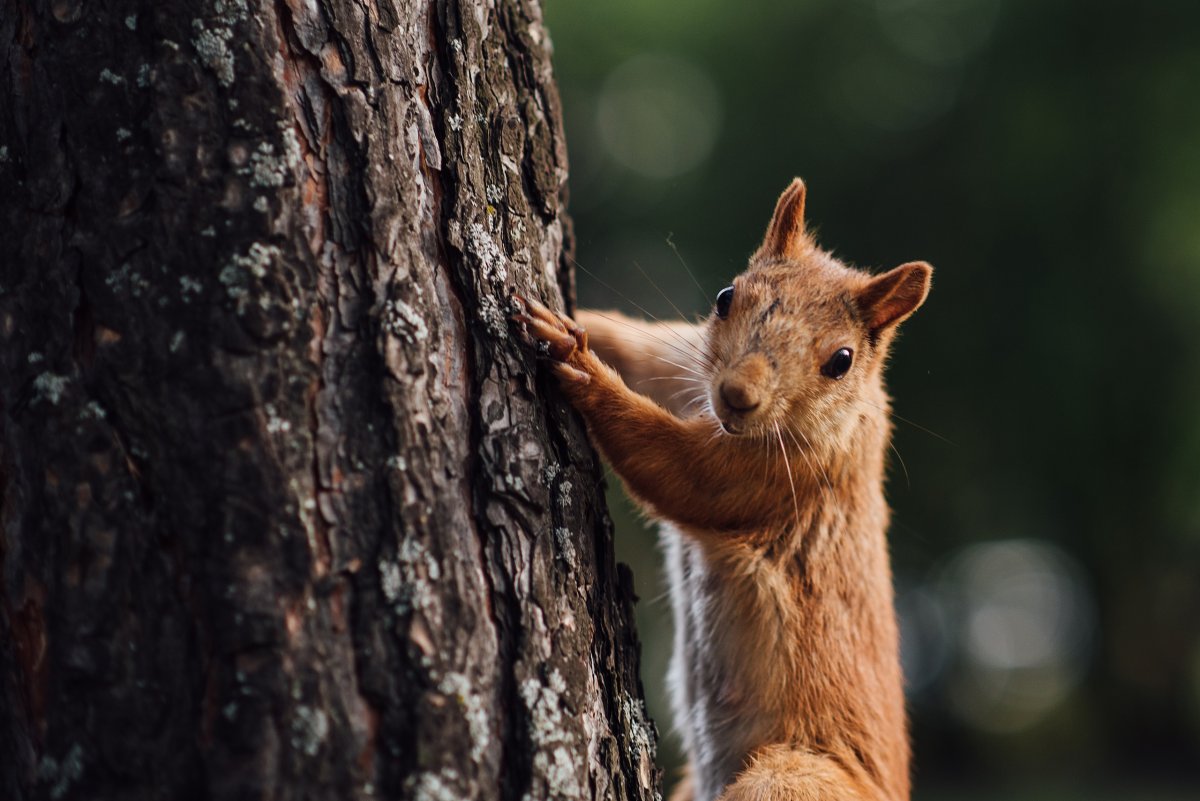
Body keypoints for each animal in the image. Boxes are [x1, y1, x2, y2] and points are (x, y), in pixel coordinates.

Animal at [516, 179, 926, 801]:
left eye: (842, 360)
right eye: (725, 296)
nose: (737, 396)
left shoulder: (783, 478)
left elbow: (682, 473)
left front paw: (578, 362)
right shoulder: (682, 369)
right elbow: (634, 347)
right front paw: (574, 324)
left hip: (791, 779)